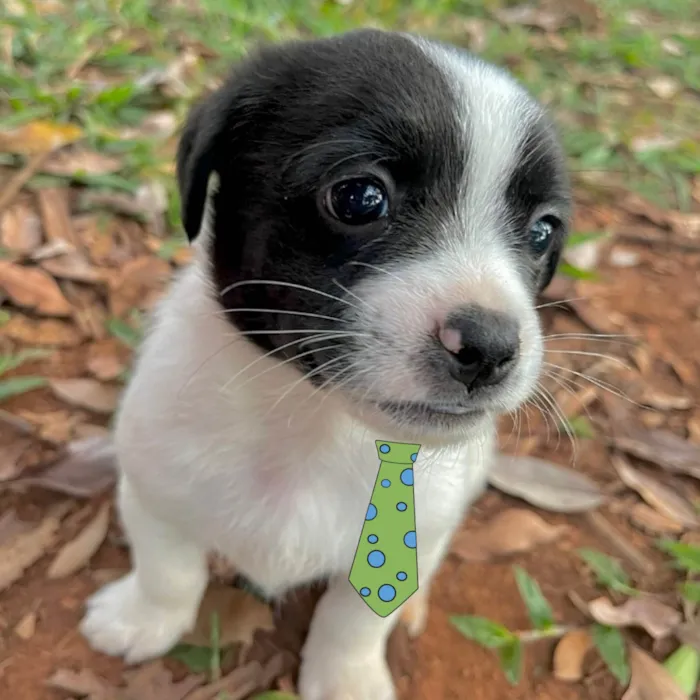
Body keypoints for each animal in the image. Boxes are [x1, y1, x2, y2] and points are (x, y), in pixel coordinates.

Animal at [80, 28, 568, 700]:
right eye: (359, 197)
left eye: (543, 232)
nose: (490, 347)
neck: (316, 425)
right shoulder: (154, 490)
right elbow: (168, 571)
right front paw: (142, 621)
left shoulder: (409, 541)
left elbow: (353, 620)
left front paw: (346, 680)